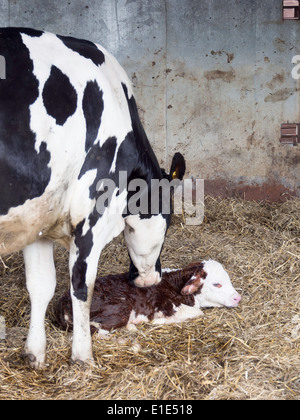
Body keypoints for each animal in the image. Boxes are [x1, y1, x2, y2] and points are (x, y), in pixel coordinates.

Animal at [0, 27, 185, 368]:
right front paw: (83, 357)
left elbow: (41, 285)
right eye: (168, 221)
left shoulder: (39, 215)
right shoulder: (91, 216)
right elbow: (81, 286)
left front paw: (34, 353)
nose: (150, 279)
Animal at [56, 260, 241, 336]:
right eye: (217, 284)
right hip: (121, 308)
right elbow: (198, 313)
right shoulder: (165, 306)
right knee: (100, 331)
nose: (237, 298)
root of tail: (63, 302)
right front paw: (157, 321)